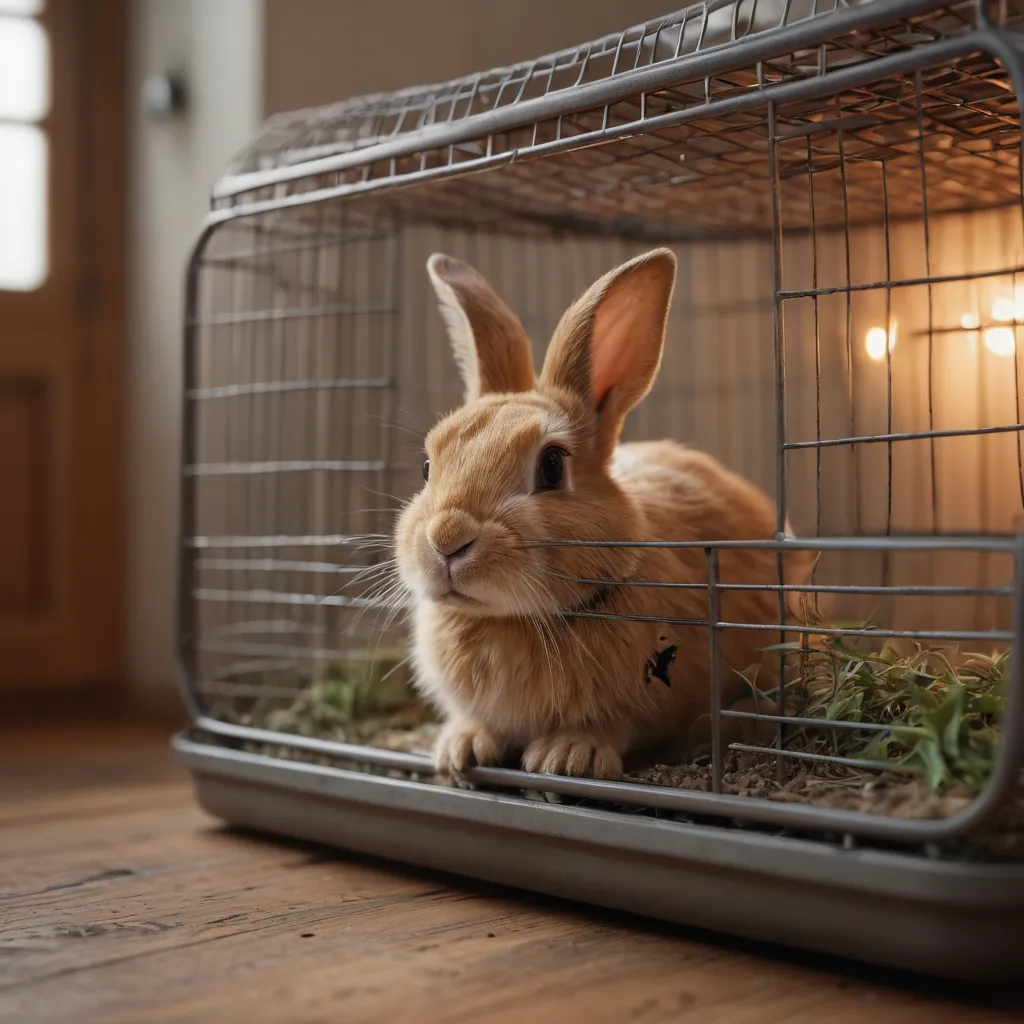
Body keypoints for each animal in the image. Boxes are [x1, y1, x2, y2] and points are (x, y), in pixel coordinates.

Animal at [394, 247, 817, 781]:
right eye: (428, 466)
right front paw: (460, 749)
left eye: (552, 466)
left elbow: (614, 728)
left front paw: (567, 756)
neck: (514, 618)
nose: (447, 538)